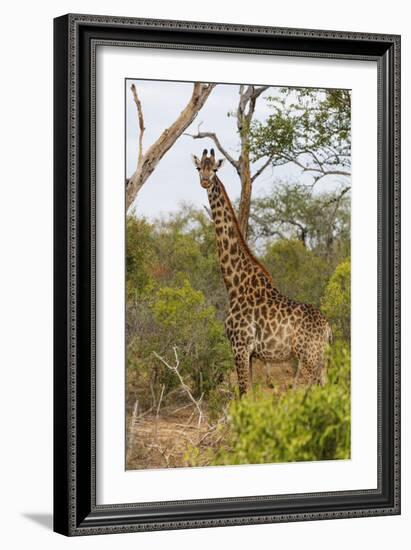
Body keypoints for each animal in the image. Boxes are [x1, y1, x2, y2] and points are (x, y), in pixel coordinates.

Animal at [192, 147, 334, 396]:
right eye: (199, 167)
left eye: (215, 169)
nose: (205, 181)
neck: (235, 285)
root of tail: (327, 329)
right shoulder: (248, 353)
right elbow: (247, 394)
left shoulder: (240, 346)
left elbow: (243, 394)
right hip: (320, 358)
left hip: (310, 355)